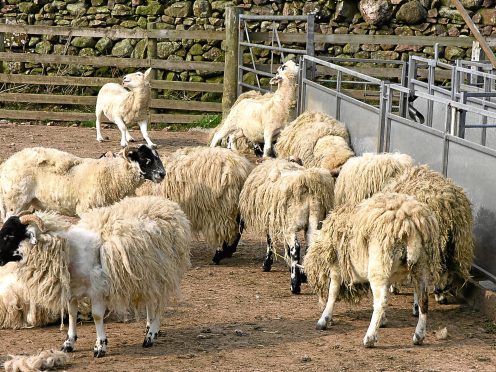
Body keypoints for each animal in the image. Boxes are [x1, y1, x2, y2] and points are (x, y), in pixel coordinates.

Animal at [0, 145, 167, 221]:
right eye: (145, 159)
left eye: (157, 157)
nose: (162, 174)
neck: (113, 174)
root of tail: (7, 163)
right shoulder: (87, 209)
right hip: (14, 202)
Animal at [0, 196, 192, 356]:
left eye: (10, 235)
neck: (70, 252)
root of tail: (169, 205)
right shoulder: (72, 291)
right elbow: (71, 314)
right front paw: (69, 343)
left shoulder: (97, 290)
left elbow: (97, 316)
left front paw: (100, 346)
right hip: (149, 275)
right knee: (151, 301)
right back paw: (148, 326)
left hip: (164, 273)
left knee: (160, 304)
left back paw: (151, 334)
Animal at [238, 157, 336, 294]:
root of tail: (308, 182)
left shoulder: (271, 220)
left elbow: (270, 241)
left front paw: (267, 264)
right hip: (315, 221)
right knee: (310, 245)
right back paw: (305, 273)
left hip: (292, 224)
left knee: (296, 247)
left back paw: (294, 284)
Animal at [302, 193, 442, 348]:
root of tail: (409, 224)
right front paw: (383, 320)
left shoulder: (337, 268)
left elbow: (333, 292)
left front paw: (324, 319)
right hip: (421, 266)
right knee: (423, 300)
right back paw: (419, 336)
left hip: (379, 265)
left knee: (381, 302)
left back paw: (369, 338)